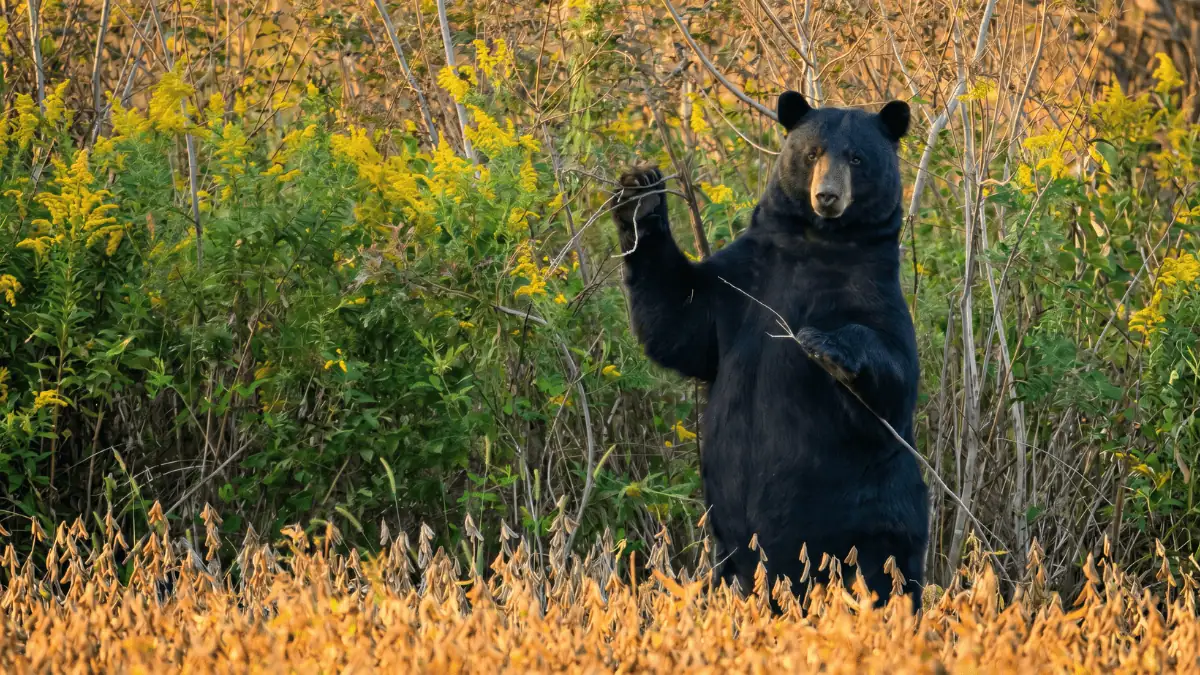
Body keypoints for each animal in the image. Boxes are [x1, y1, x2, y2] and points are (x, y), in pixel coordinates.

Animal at [612, 91, 929, 610]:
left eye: (857, 158)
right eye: (812, 153)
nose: (827, 197)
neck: (817, 243)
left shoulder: (874, 290)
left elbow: (894, 375)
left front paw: (825, 345)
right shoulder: (743, 279)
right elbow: (680, 321)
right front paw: (640, 193)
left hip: (877, 520)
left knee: (884, 580)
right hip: (730, 548)